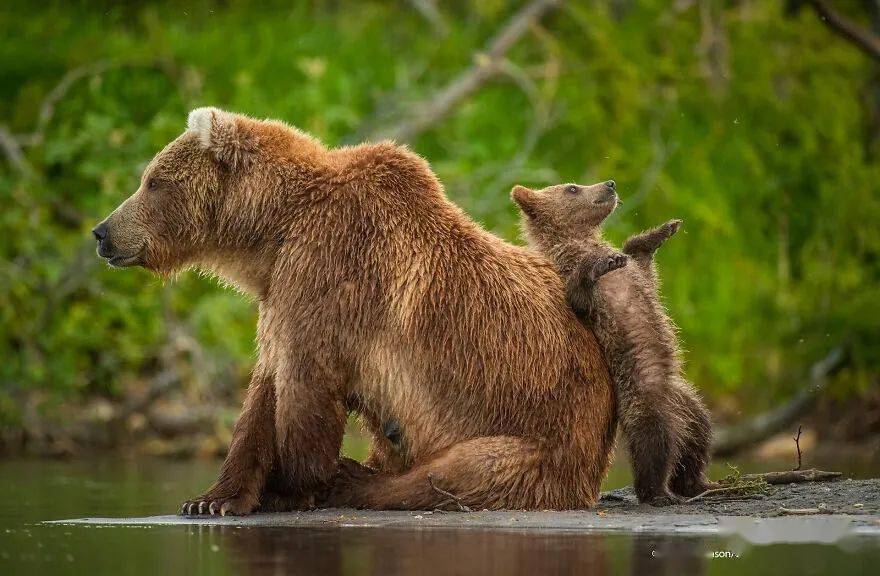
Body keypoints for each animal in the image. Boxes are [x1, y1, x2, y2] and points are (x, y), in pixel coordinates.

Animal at [93, 110, 616, 516]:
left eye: (152, 181)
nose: (102, 231)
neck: (272, 231)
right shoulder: (281, 292)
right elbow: (263, 390)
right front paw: (211, 499)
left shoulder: (330, 274)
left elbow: (305, 386)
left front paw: (290, 488)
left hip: (539, 432)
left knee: (459, 472)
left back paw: (354, 478)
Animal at [512, 181, 712, 504]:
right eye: (572, 187)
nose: (610, 184)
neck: (578, 239)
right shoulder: (568, 277)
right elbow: (579, 297)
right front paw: (600, 264)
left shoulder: (637, 274)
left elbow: (639, 261)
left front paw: (663, 230)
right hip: (642, 394)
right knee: (653, 440)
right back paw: (657, 492)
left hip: (687, 401)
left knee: (699, 433)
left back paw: (697, 483)